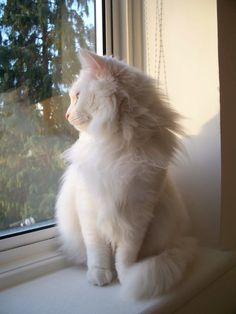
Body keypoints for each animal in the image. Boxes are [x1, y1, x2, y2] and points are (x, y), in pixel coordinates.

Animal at [55, 49, 197, 300]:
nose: (66, 115)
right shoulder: (90, 208)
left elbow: (125, 256)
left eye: (77, 96)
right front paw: (100, 276)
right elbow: (98, 252)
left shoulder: (138, 213)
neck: (118, 144)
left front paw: (125, 278)